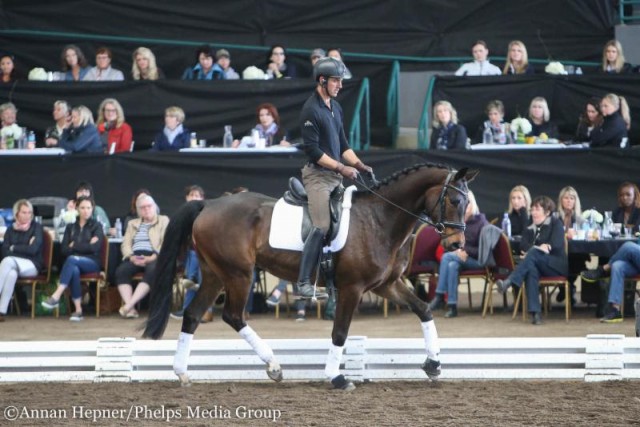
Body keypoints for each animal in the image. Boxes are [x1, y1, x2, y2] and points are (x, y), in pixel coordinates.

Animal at [144, 164, 476, 392]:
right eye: (454, 201)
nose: (456, 245)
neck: (380, 218)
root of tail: (209, 203)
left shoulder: (386, 285)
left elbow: (424, 309)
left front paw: (433, 364)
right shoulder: (353, 287)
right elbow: (340, 332)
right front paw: (337, 377)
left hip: (215, 274)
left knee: (193, 314)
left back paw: (182, 372)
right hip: (238, 274)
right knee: (233, 315)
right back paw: (274, 366)